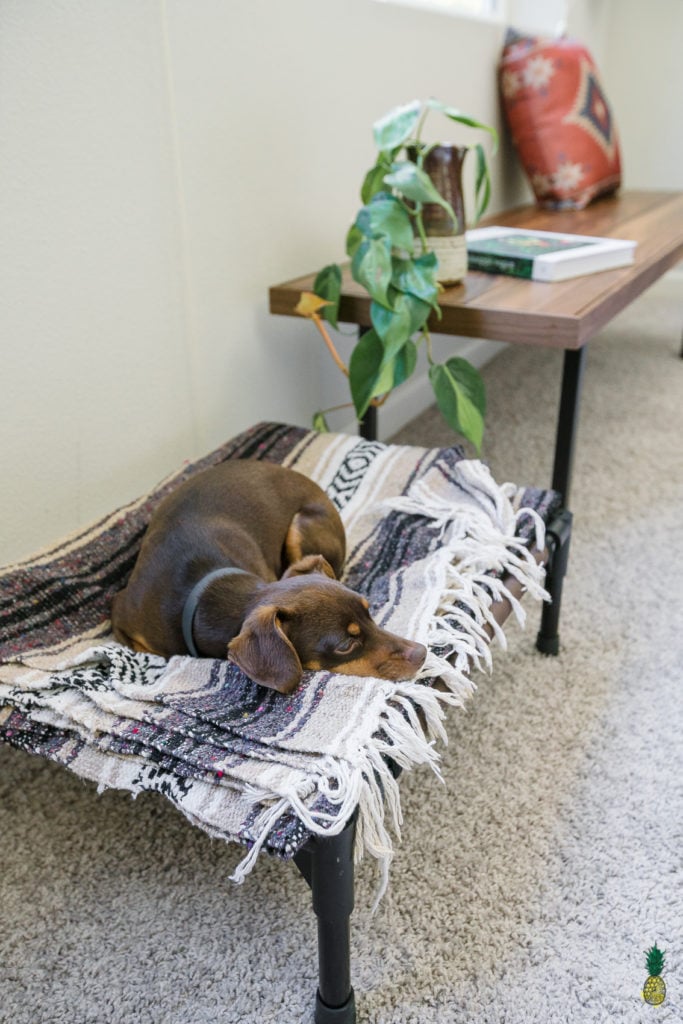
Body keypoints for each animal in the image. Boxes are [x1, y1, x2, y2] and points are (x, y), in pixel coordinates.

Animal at [109, 460, 423, 692]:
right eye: (346, 646)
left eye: (370, 613)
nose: (423, 653)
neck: (204, 592)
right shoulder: (120, 615)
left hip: (302, 526)